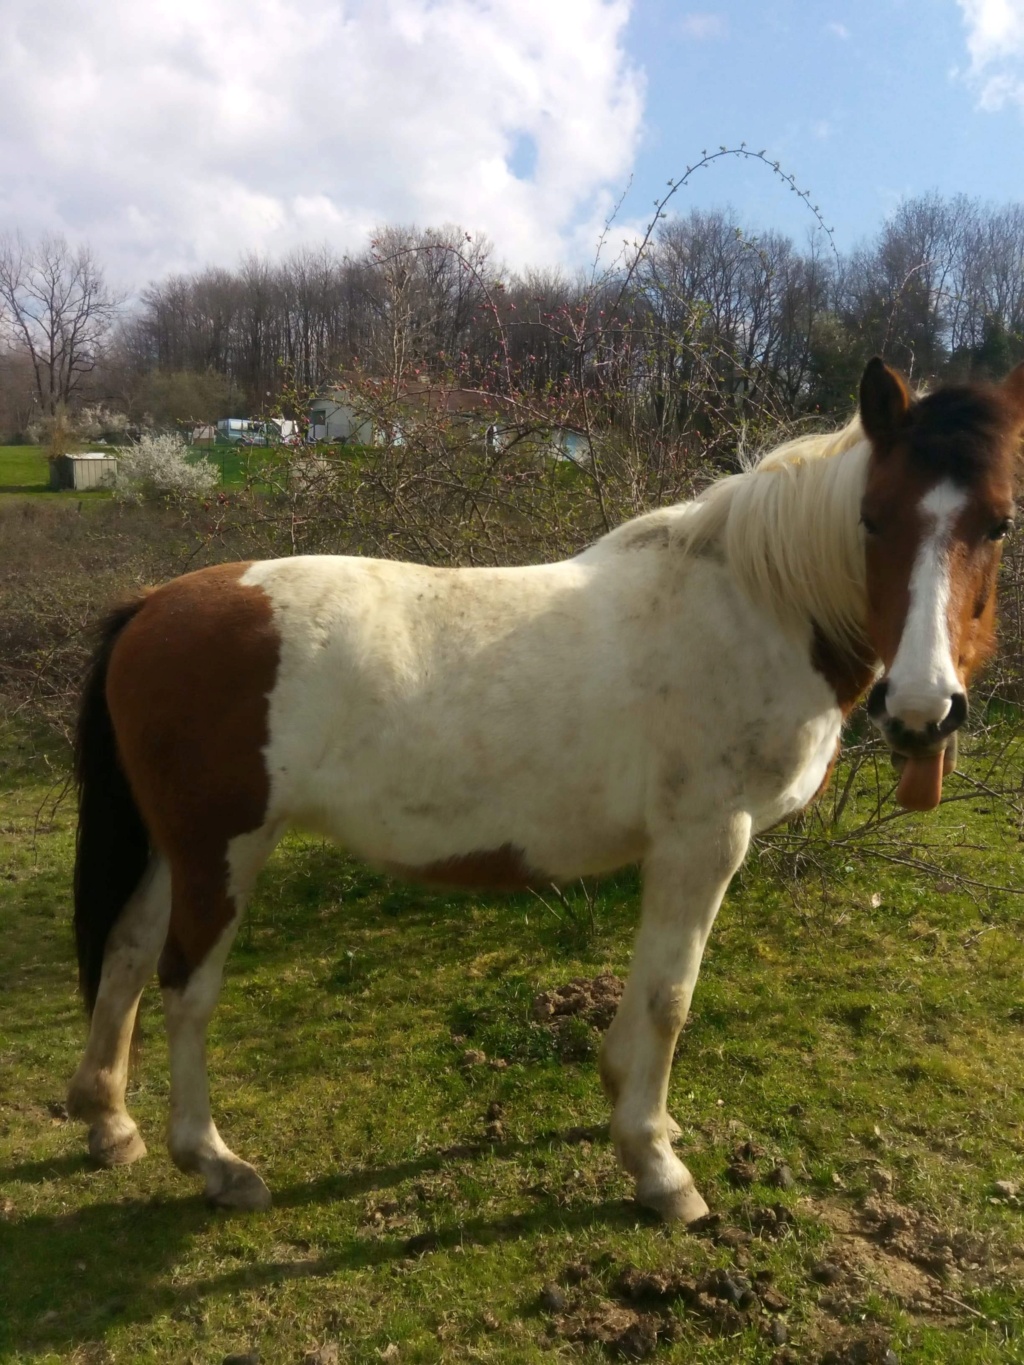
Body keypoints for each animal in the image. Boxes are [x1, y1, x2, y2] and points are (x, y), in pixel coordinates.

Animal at [68, 360, 1024, 1217]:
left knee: (126, 953)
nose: (922, 710)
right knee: (185, 983)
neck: (753, 607)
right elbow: (671, 998)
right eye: (873, 519)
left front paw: (637, 1115)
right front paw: (656, 1165)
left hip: (175, 849)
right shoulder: (703, 841)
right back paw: (214, 1161)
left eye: (999, 524)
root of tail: (150, 605)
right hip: (223, 847)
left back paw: (111, 1123)